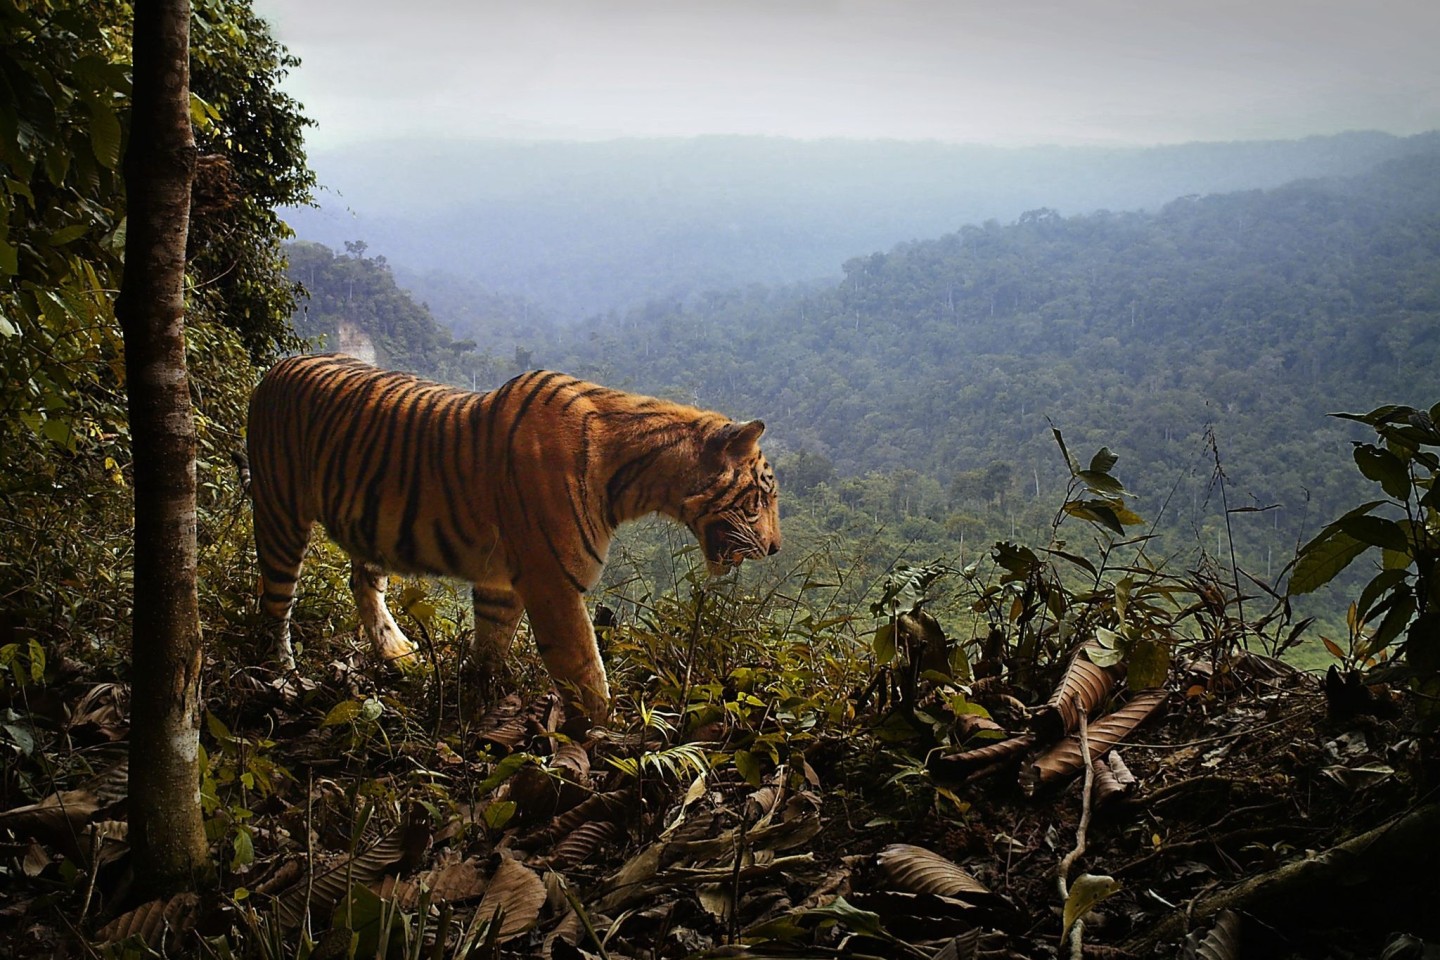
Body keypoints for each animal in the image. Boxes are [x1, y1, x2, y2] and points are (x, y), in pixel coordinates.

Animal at [249, 356, 789, 725]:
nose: (777, 548)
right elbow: (585, 669)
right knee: (273, 606)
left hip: (368, 528)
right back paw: (282, 678)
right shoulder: (553, 583)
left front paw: (477, 702)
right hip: (280, 516)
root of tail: (279, 365)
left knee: (361, 580)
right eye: (763, 496)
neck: (638, 479)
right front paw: (607, 738)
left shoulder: (501, 582)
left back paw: (397, 652)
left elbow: (490, 644)